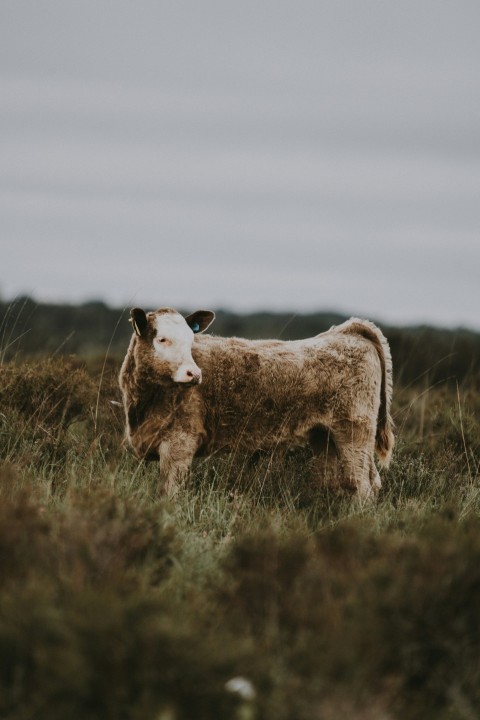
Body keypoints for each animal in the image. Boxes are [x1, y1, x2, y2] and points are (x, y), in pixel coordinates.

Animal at [119, 307, 394, 501]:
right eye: (162, 340)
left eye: (191, 341)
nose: (194, 374)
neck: (142, 406)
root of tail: (347, 330)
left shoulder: (179, 445)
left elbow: (169, 492)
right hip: (326, 436)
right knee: (349, 480)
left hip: (354, 431)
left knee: (361, 485)